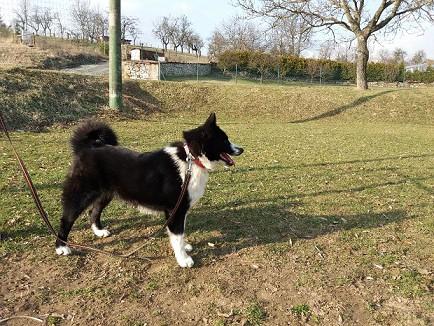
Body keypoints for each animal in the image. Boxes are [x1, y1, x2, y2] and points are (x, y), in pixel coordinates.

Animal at [54, 114, 242, 268]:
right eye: (225, 140)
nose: (242, 149)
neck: (191, 160)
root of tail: (88, 148)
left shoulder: (181, 210)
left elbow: (181, 233)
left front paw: (184, 247)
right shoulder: (175, 210)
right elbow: (177, 235)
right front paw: (183, 259)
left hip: (105, 194)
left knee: (94, 212)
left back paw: (99, 231)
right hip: (81, 195)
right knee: (66, 220)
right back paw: (62, 247)